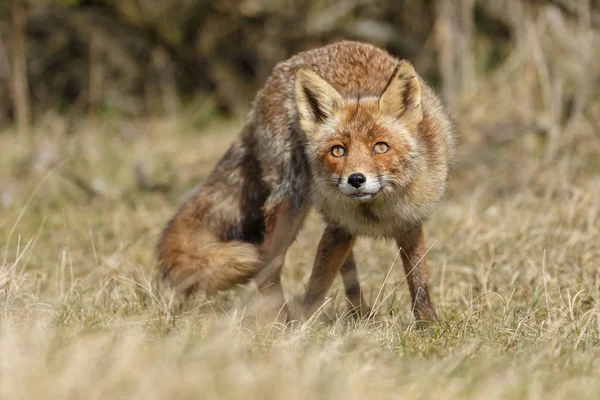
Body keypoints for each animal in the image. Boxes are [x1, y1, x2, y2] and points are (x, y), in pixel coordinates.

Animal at [156, 40, 454, 322]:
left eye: (380, 147)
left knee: (348, 271)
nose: (356, 179)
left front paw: (428, 327)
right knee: (267, 264)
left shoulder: (407, 224)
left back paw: (359, 314)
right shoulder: (337, 229)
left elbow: (419, 283)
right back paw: (281, 322)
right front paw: (301, 331)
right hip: (291, 203)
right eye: (338, 151)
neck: (375, 213)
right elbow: (316, 287)